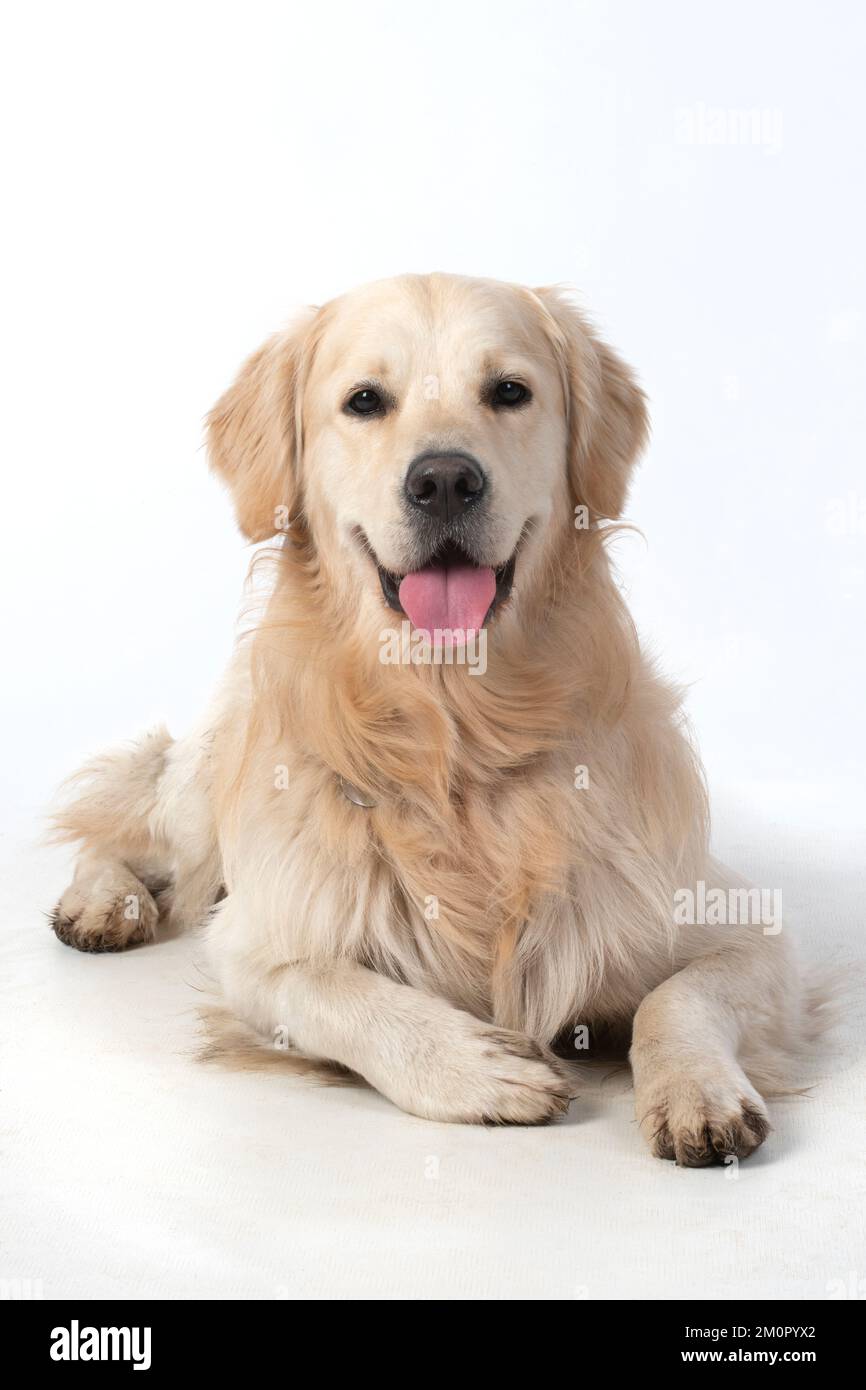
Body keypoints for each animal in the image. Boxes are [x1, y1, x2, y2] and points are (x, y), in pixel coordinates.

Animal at [47, 271, 817, 1162]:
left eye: (510, 391)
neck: (460, 739)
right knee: (121, 828)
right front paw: (476, 1068)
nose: (445, 480)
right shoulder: (258, 947)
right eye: (364, 401)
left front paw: (696, 1091)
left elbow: (676, 997)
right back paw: (102, 902)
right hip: (202, 795)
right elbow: (330, 988)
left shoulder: (737, 923)